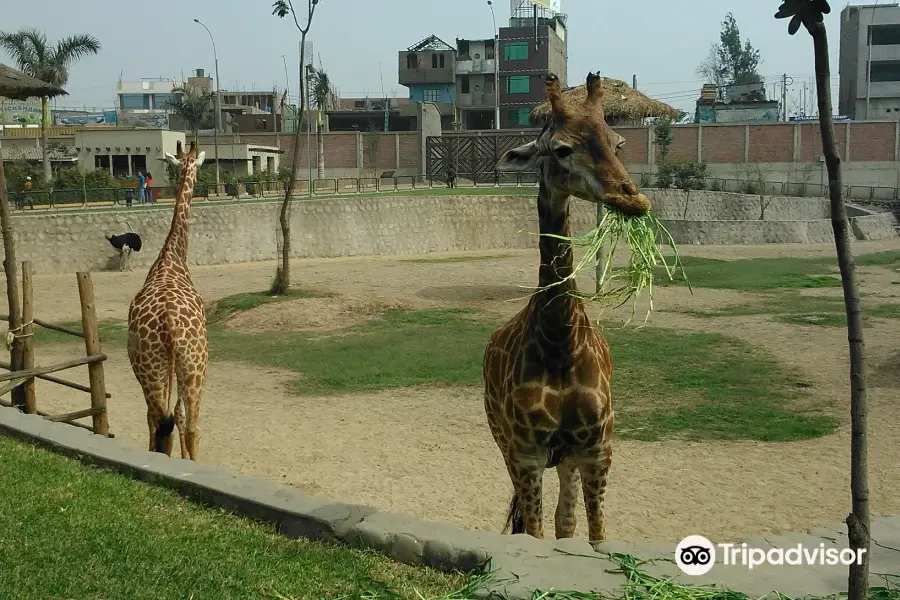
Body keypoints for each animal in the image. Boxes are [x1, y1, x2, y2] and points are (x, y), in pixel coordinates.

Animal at [127, 139, 210, 460]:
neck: (171, 257)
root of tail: (170, 326)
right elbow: (175, 417)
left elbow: (157, 419)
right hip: (191, 366)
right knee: (185, 423)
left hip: (158, 367)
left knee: (164, 419)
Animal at [482, 70, 652, 544]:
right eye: (561, 148)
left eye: (616, 143)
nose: (632, 198)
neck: (561, 341)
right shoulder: (527, 452)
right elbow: (533, 534)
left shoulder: (597, 448)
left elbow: (593, 536)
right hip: (505, 444)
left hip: (569, 459)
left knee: (566, 521)